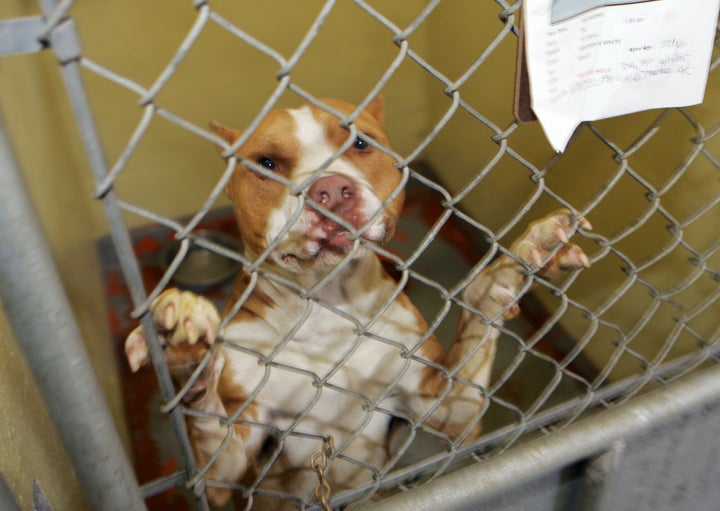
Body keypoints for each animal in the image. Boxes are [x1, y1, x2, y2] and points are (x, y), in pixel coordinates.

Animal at [124, 96, 592, 508]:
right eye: (266, 164)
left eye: (361, 143)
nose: (332, 190)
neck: (326, 311)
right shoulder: (228, 468)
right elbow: (212, 440)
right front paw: (181, 345)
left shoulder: (448, 410)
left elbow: (478, 319)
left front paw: (521, 258)